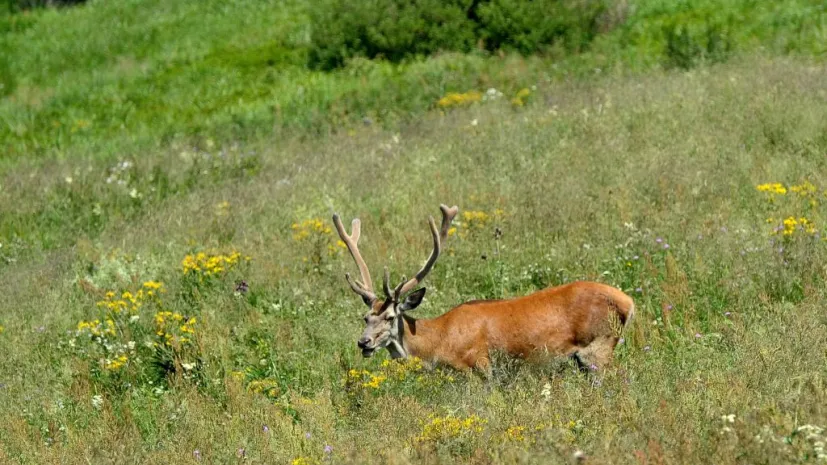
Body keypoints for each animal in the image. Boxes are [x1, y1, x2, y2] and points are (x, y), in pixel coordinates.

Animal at [334, 203, 636, 374]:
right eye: (365, 317)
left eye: (390, 317)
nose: (364, 342)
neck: (438, 342)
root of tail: (628, 302)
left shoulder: (478, 366)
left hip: (598, 346)